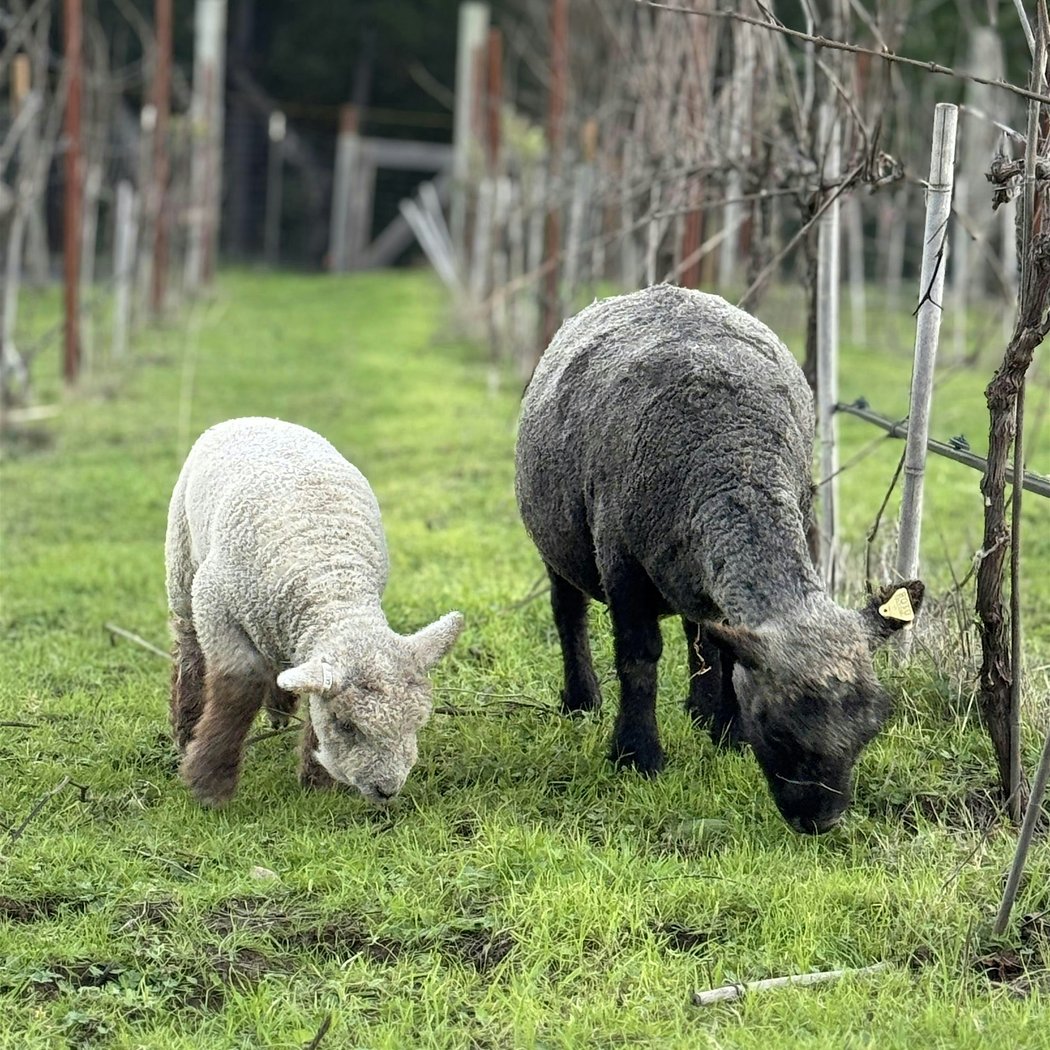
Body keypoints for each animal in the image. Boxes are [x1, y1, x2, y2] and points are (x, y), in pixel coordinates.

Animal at [166, 417, 464, 807]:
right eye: (346, 725)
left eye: (416, 723)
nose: (386, 790)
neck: (330, 582)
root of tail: (255, 418)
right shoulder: (216, 605)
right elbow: (239, 686)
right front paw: (211, 782)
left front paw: (317, 782)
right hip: (183, 565)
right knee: (187, 644)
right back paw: (186, 725)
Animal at [514, 284, 924, 834]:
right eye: (777, 729)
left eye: (871, 730)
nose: (821, 821)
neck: (735, 457)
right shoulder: (621, 563)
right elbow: (639, 657)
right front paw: (637, 756)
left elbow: (727, 652)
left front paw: (728, 734)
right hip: (556, 541)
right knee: (568, 614)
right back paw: (582, 701)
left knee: (700, 626)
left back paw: (701, 710)